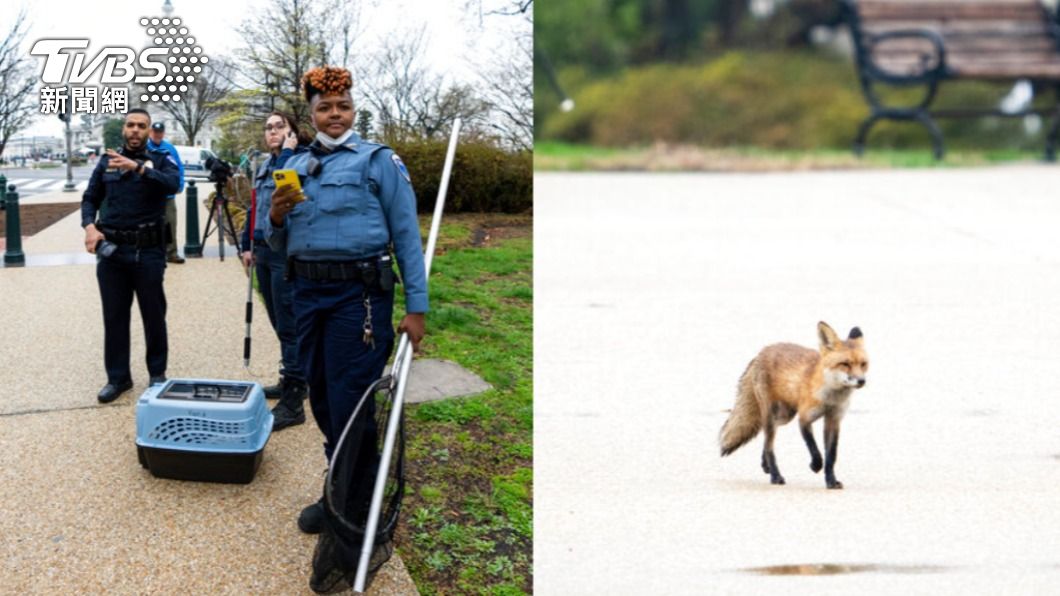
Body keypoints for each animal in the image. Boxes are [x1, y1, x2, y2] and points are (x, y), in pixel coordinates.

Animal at [720, 320, 869, 487]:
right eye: (845, 364)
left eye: (863, 364)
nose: (862, 381)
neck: (830, 397)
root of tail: (761, 352)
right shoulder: (804, 418)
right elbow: (814, 449)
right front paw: (816, 465)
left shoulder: (834, 420)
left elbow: (831, 456)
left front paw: (831, 481)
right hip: (773, 413)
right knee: (769, 444)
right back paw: (775, 476)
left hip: (786, 415)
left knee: (767, 437)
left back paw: (765, 465)